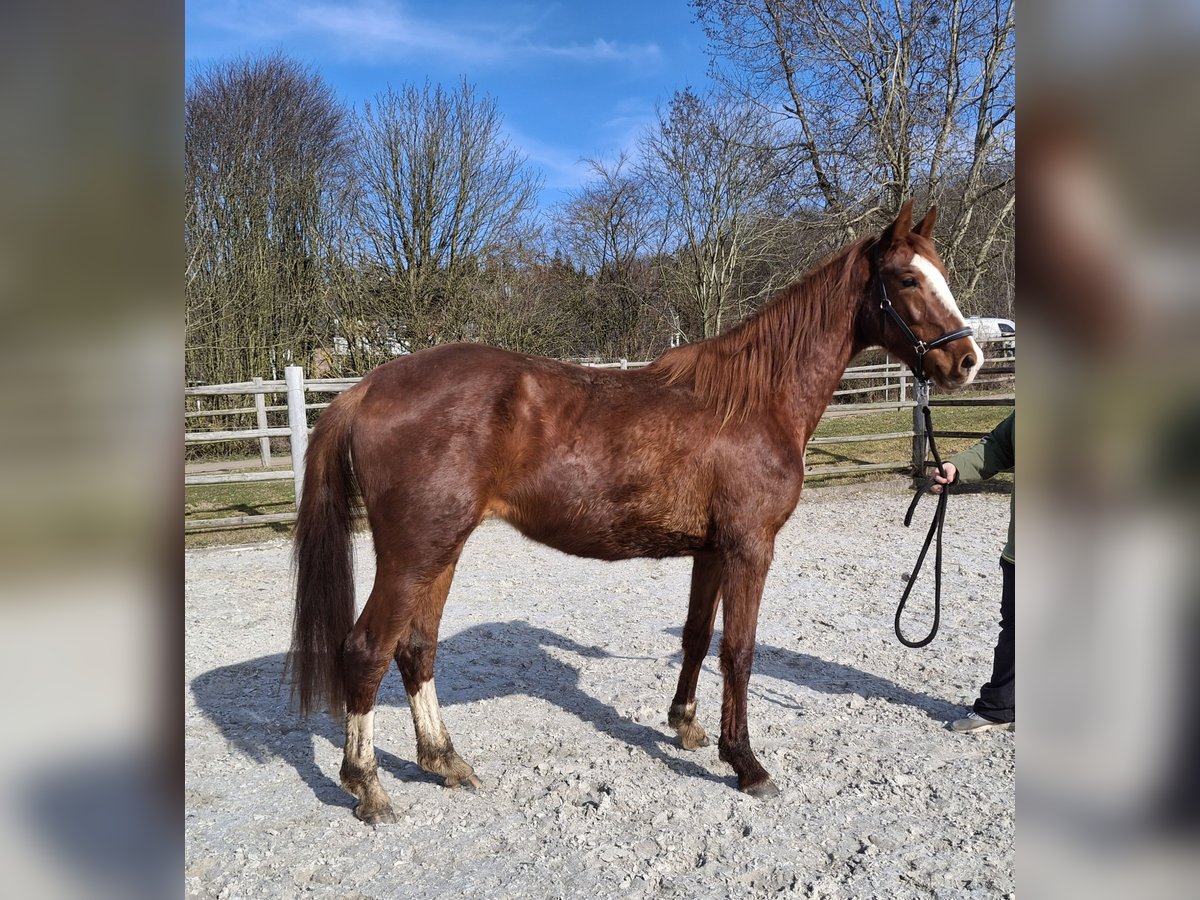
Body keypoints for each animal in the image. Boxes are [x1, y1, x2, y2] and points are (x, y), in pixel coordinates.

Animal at [285, 202, 979, 825]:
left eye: (939, 271)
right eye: (908, 278)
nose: (967, 359)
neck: (753, 401)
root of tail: (366, 388)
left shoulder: (712, 551)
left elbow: (698, 637)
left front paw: (686, 727)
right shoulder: (750, 547)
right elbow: (740, 650)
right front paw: (746, 763)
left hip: (440, 550)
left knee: (415, 650)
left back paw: (445, 761)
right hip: (415, 552)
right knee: (367, 650)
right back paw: (368, 786)